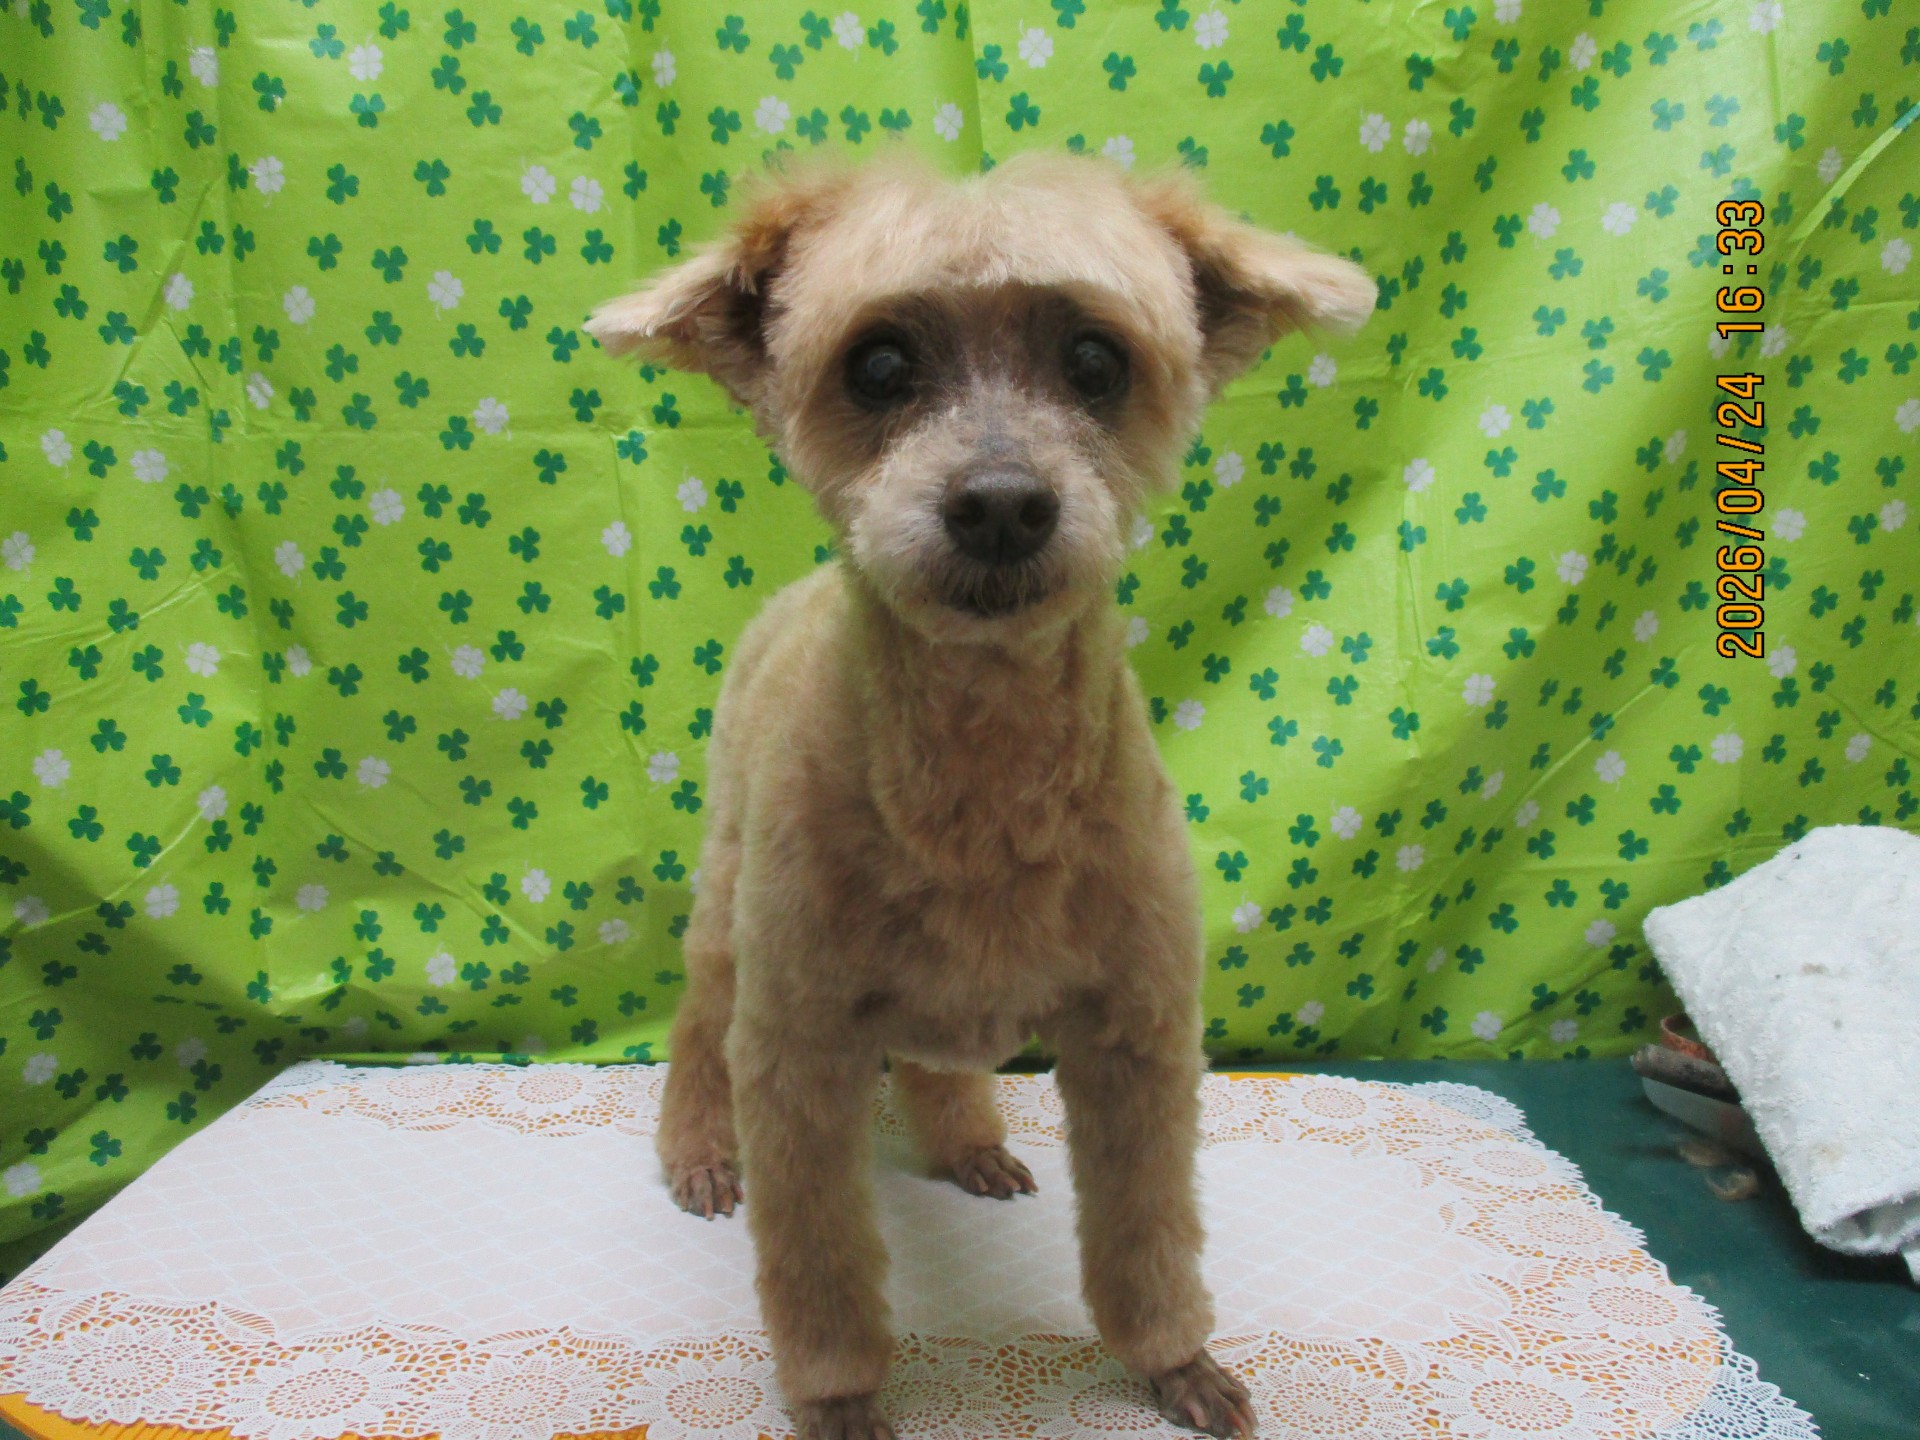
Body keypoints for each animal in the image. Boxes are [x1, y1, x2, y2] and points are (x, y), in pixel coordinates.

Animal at [585, 149, 1373, 1440]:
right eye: (878, 366)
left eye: (1097, 361)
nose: (1001, 500)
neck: (980, 787)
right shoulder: (798, 1048)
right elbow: (818, 1255)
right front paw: (840, 1395)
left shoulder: (1139, 1038)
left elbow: (1150, 1229)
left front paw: (1173, 1361)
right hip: (728, 898)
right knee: (700, 1021)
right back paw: (698, 1150)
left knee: (939, 1055)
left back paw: (966, 1142)